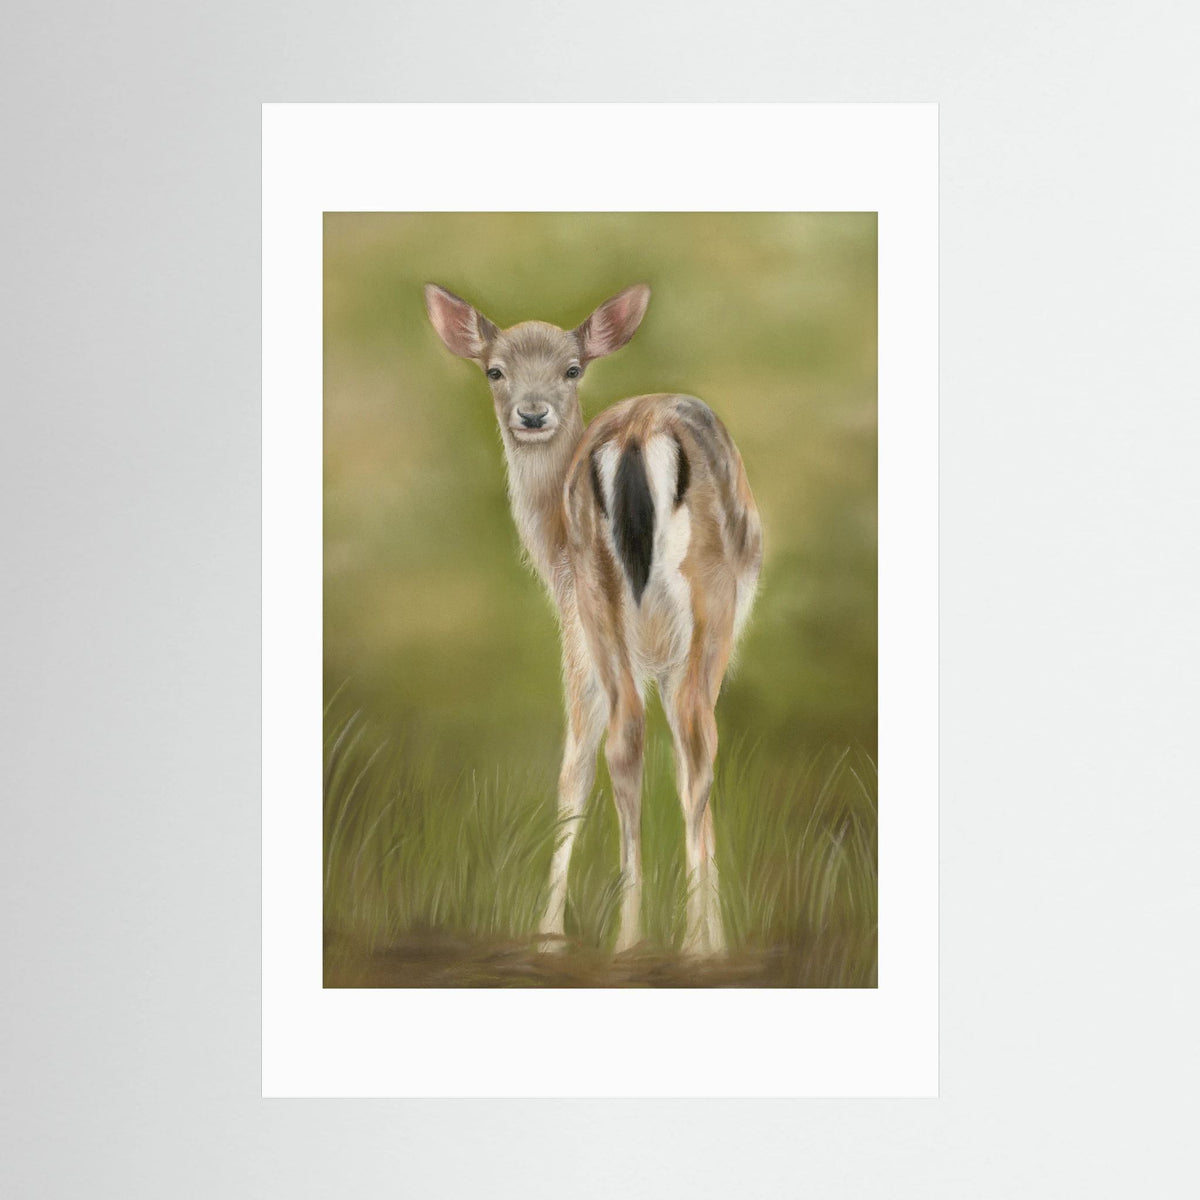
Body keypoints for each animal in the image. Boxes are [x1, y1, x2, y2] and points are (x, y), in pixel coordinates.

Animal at [424, 282, 762, 955]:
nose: (531, 415)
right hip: (693, 602)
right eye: (494, 370)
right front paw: (552, 931)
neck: (549, 549)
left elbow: (583, 764)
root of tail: (636, 435)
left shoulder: (590, 633)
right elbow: (588, 766)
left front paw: (549, 933)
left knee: (637, 737)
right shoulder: (589, 639)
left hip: (606, 597)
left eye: (572, 369)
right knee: (687, 738)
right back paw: (679, 944)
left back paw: (636, 938)